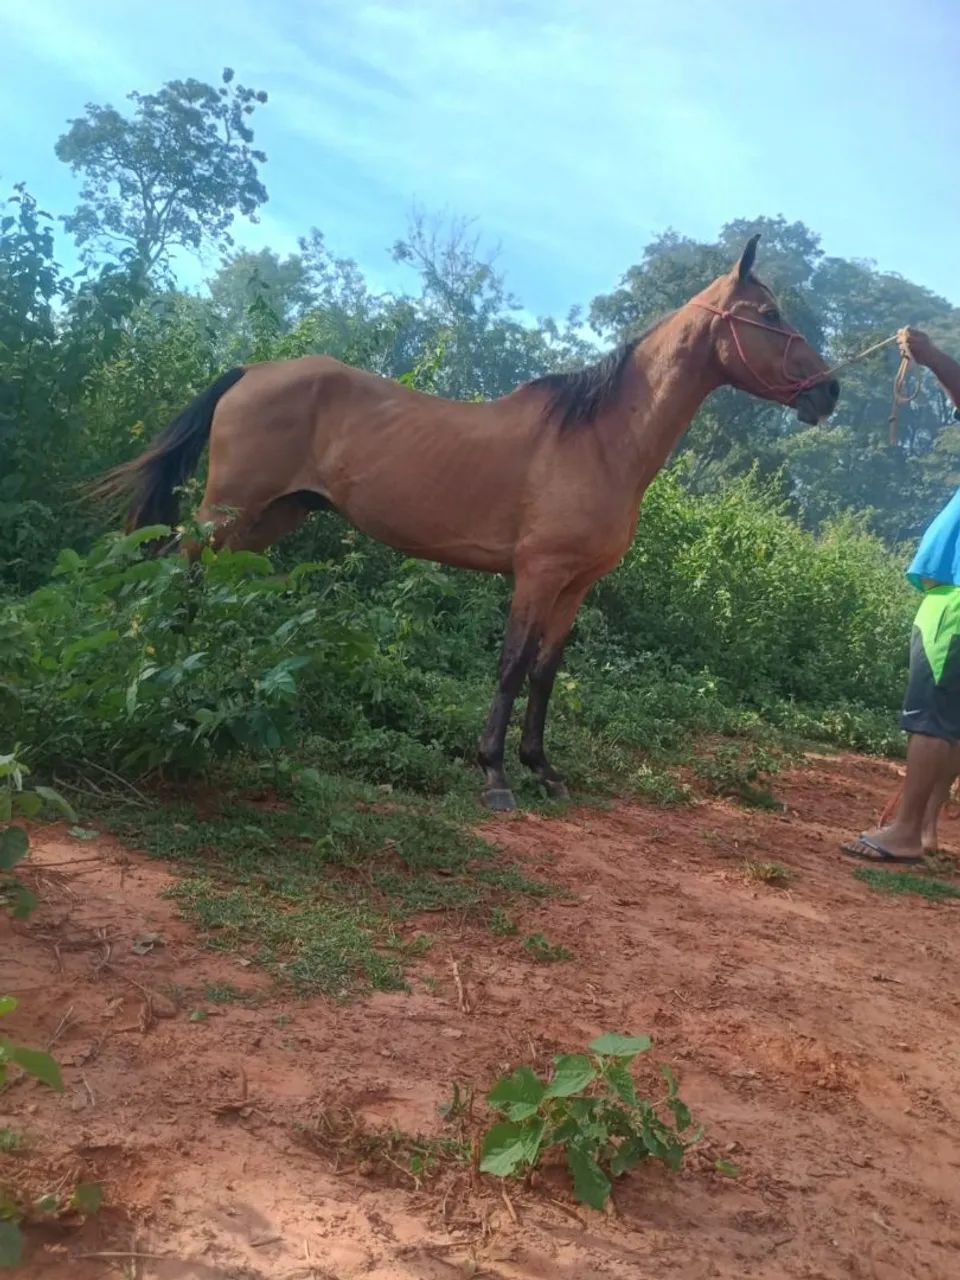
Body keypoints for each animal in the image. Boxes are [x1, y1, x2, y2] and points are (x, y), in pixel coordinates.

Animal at [96, 234, 839, 810]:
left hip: (270, 517)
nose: (830, 391)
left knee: (202, 582)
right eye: (769, 312)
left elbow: (546, 673)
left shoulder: (575, 587)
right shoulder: (536, 574)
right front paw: (495, 775)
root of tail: (251, 370)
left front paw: (545, 770)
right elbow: (511, 666)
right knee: (173, 571)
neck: (599, 438)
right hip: (228, 510)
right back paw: (153, 666)